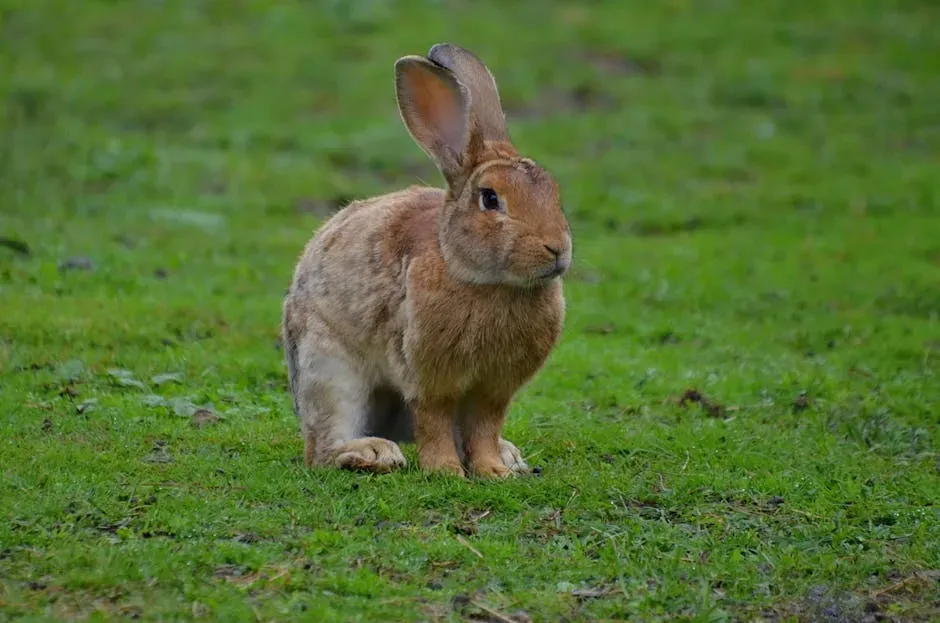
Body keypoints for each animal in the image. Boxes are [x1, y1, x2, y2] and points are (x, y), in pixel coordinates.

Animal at [282, 43, 572, 478]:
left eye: (553, 193)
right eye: (490, 198)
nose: (557, 249)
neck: (481, 278)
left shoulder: (493, 390)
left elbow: (485, 427)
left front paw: (494, 471)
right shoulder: (428, 376)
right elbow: (433, 420)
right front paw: (446, 471)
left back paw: (509, 456)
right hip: (328, 370)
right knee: (322, 448)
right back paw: (372, 453)